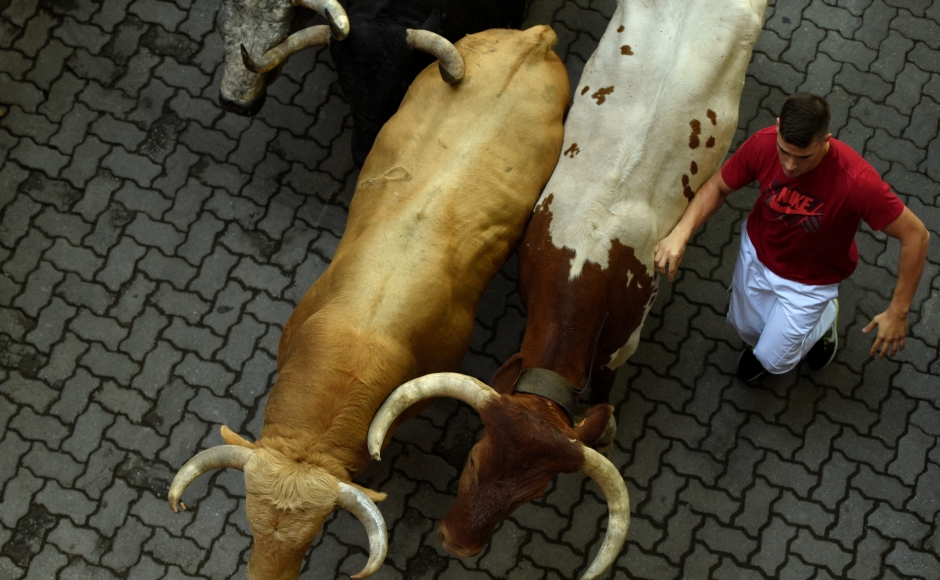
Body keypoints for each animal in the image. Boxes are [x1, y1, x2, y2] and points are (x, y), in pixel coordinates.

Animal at [368, 1, 769, 578]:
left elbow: (604, 389)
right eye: (474, 459)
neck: (587, 257)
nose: (457, 545)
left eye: (534, 493)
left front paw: (606, 424)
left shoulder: (622, 343)